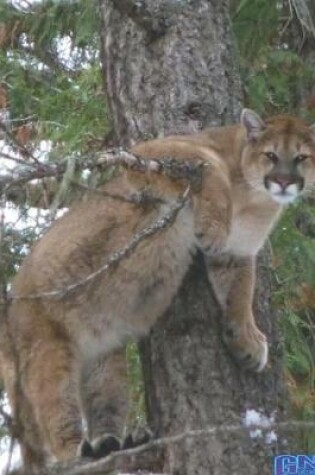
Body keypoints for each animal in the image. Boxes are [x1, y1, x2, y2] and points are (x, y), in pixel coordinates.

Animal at [2, 110, 315, 468]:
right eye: (271, 155)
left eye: (302, 157)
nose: (284, 181)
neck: (253, 197)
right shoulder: (151, 153)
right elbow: (210, 167)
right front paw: (213, 226)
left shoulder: (237, 252)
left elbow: (240, 293)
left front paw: (246, 340)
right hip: (46, 348)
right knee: (54, 416)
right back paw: (81, 455)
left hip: (104, 362)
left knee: (104, 401)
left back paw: (113, 444)